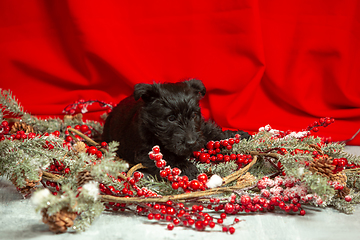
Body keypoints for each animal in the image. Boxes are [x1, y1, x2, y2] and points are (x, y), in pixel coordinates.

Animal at [101, 79, 250, 179]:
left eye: (194, 115)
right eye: (171, 118)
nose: (191, 143)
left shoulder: (200, 128)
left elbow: (213, 132)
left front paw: (239, 136)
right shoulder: (145, 149)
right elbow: (166, 157)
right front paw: (186, 167)